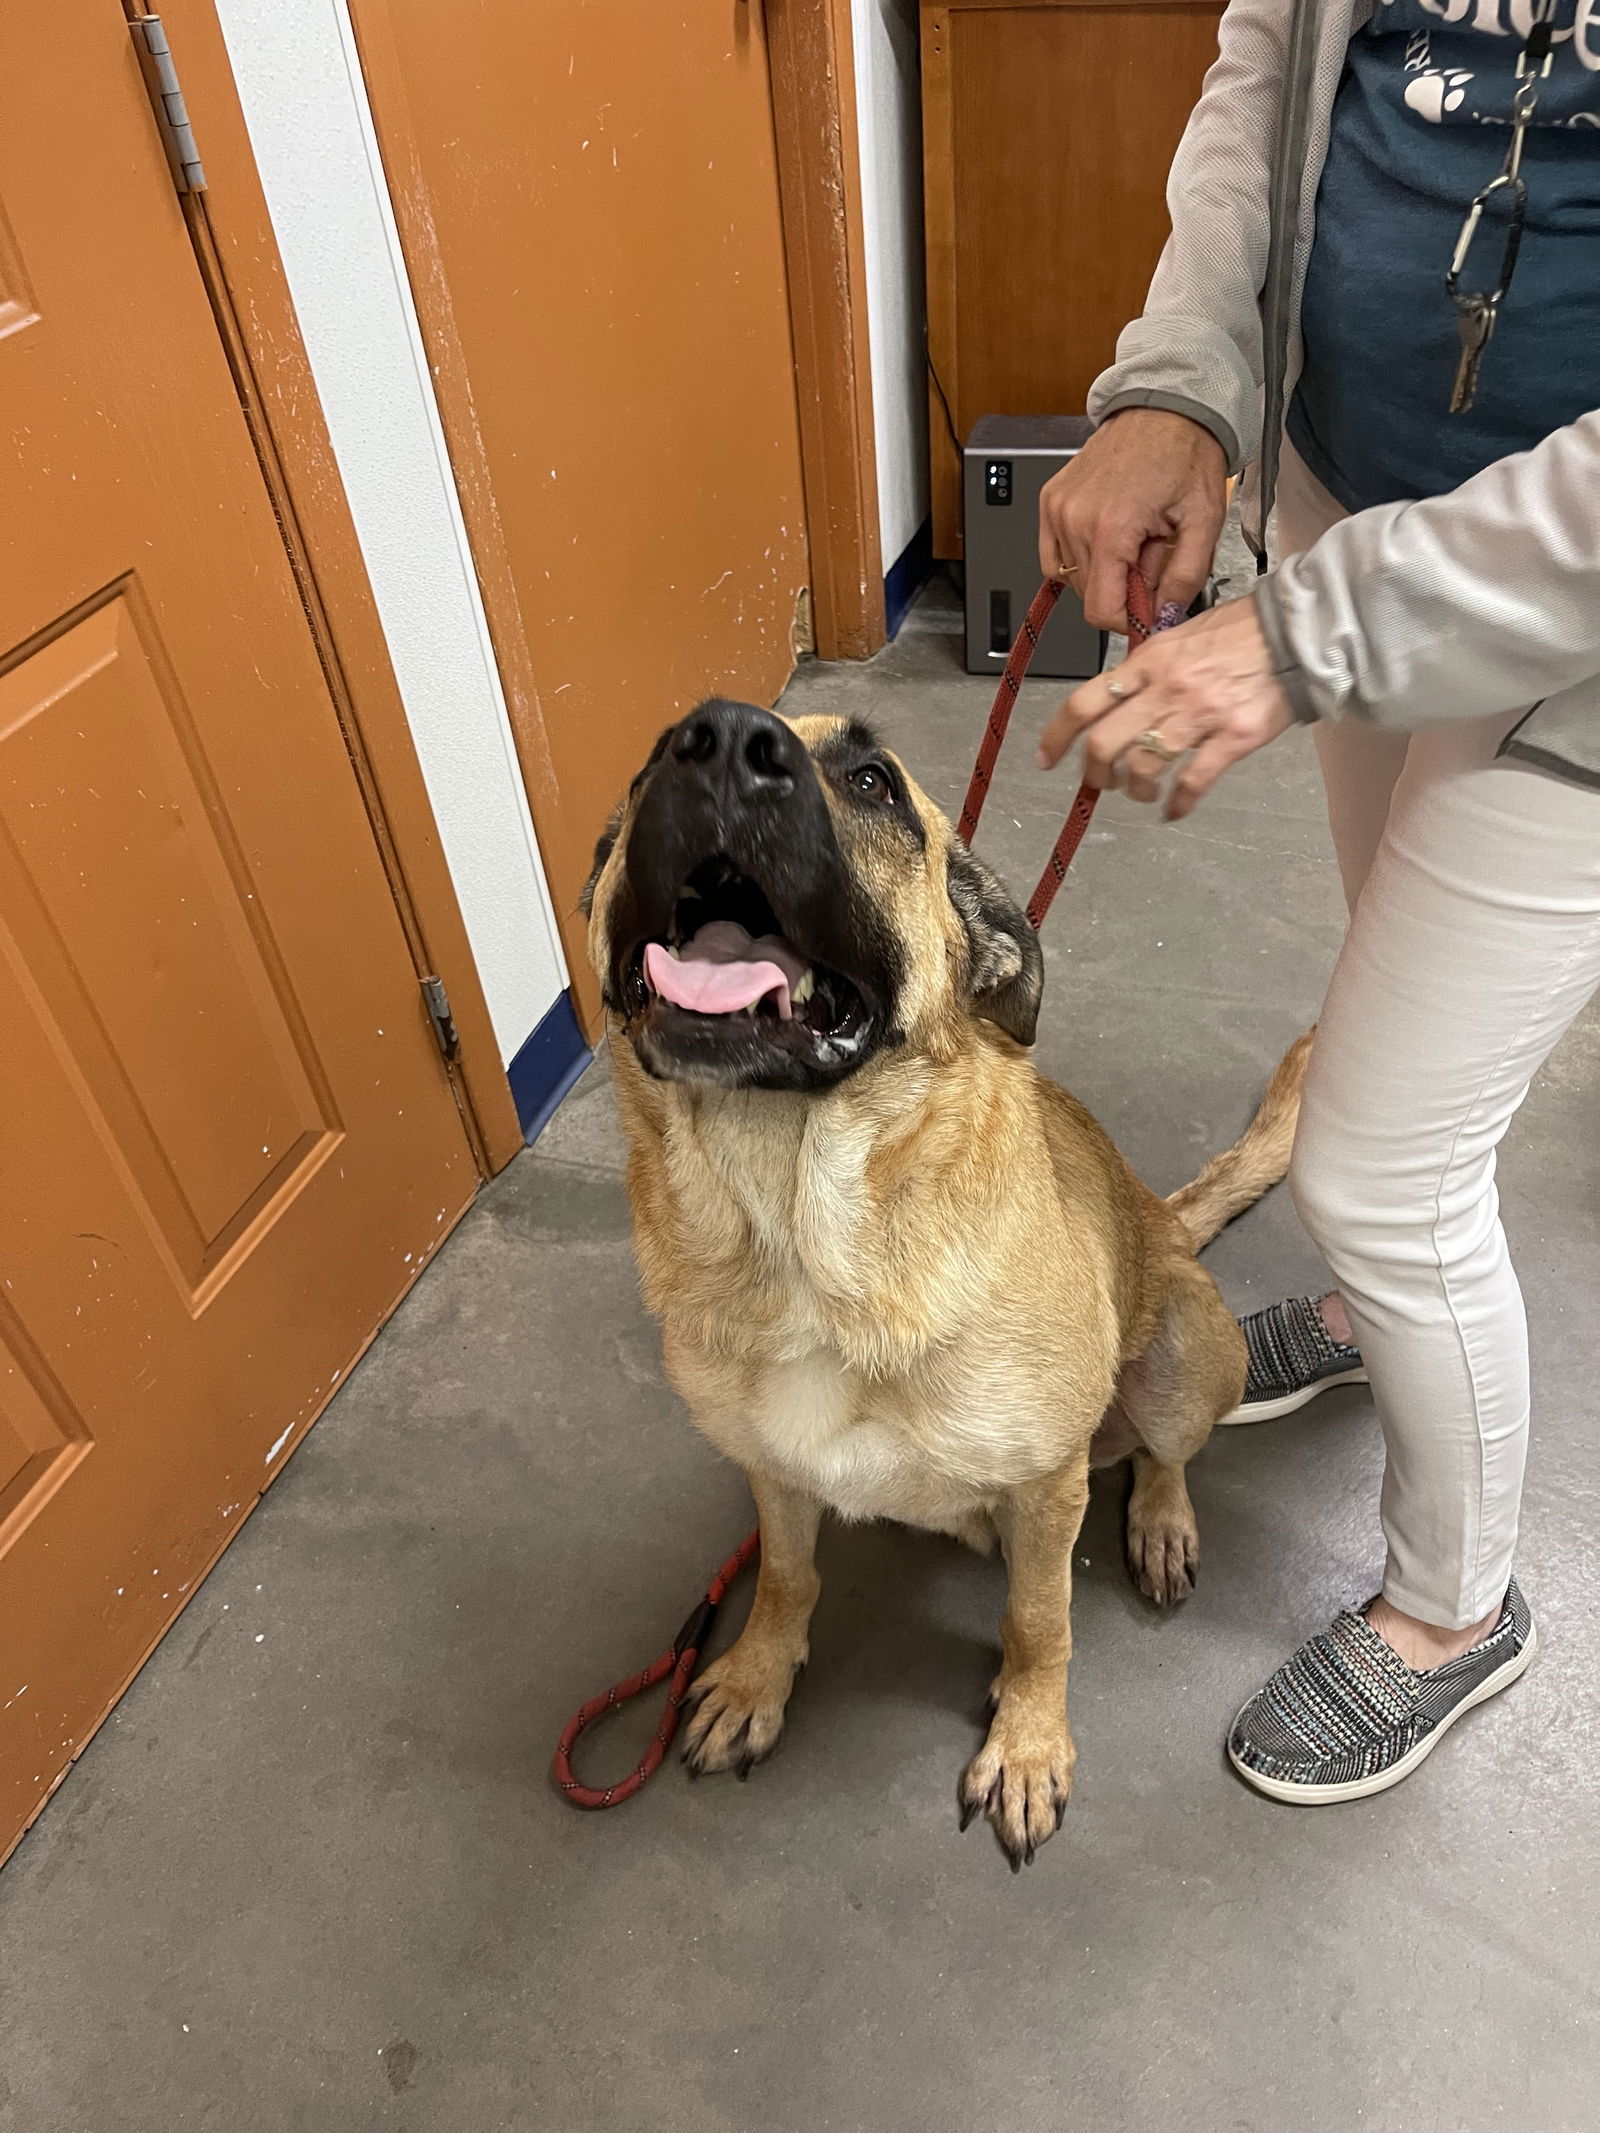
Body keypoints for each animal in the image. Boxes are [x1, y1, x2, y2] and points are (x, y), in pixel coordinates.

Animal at [584, 699, 1305, 1868]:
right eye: (651, 756)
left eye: (873, 782)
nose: (720, 738)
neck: (805, 1241)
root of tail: (1157, 1221)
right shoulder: (771, 1469)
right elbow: (785, 1574)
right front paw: (754, 1675)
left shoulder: (1049, 1481)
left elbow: (1039, 1622)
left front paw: (1027, 1743)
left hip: (1189, 1352)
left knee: (1164, 1451)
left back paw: (1160, 1519)